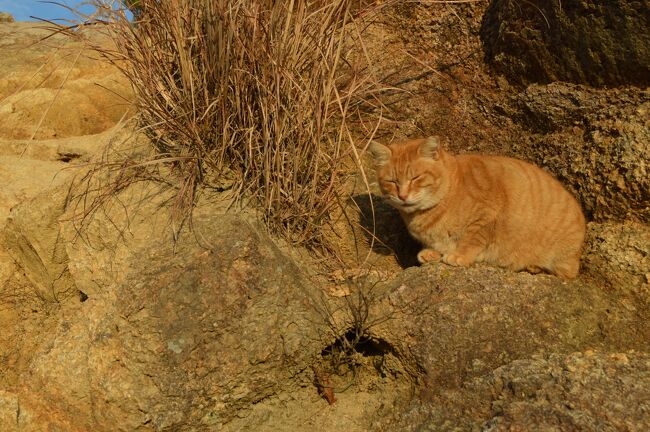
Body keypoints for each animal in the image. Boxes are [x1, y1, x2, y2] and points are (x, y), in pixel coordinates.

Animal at [368, 137, 584, 278]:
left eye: (415, 177)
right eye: (392, 181)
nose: (402, 196)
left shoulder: (486, 217)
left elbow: (472, 239)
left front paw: (460, 256)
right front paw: (431, 252)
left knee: (567, 274)